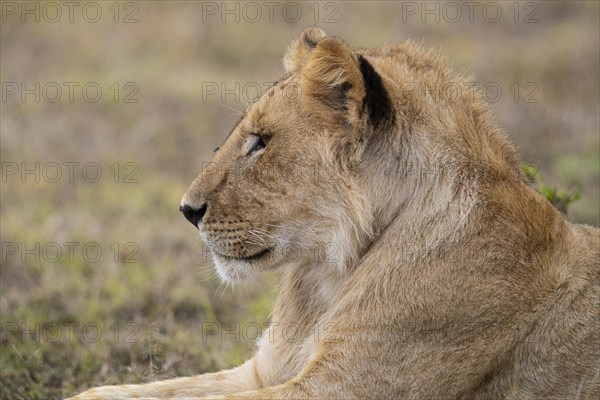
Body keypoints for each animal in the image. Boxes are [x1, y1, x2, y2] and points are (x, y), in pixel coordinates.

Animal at [71, 26, 600, 398]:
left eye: (261, 142)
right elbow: (113, 392)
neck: (332, 273)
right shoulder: (262, 371)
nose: (187, 210)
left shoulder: (340, 388)